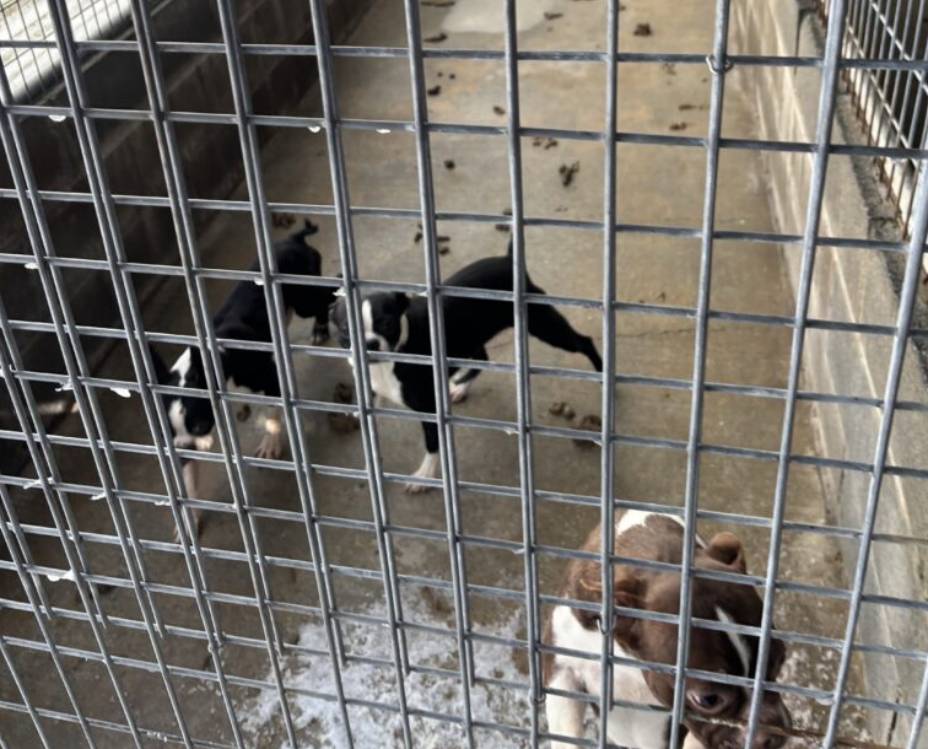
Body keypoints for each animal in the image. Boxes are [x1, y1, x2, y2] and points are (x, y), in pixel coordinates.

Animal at [330, 240, 603, 492]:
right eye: (345, 330)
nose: (369, 343)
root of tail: (508, 259)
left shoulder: (430, 411)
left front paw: (424, 476)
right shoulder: (371, 394)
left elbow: (432, 444)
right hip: (472, 337)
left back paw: (602, 375)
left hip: (544, 324)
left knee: (584, 342)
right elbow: (370, 429)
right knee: (481, 358)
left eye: (387, 324)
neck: (391, 359)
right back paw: (460, 387)